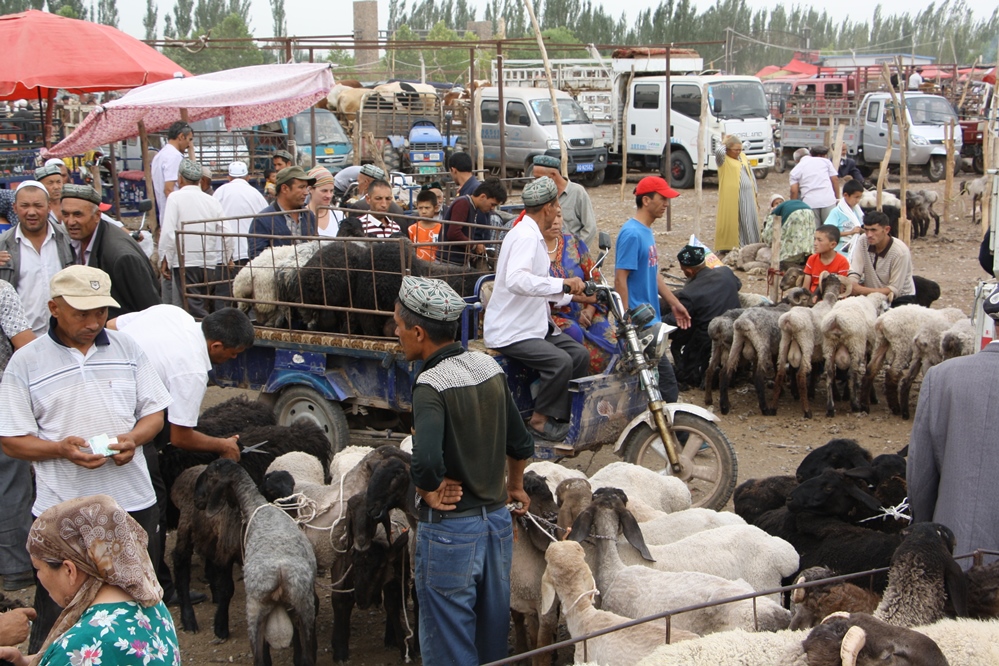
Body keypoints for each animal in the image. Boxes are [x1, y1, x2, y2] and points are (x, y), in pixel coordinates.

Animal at [196, 460, 316, 664]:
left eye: (210, 476)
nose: (198, 499)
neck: (256, 505)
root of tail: (282, 571)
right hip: (304, 607)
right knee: (307, 658)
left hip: (255, 607)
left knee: (260, 658)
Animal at [772, 270, 844, 416]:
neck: (828, 301)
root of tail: (789, 320)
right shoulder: (829, 346)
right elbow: (831, 372)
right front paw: (832, 402)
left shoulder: (818, 350)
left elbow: (817, 369)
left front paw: (812, 392)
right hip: (806, 344)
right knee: (800, 374)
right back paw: (807, 411)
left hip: (785, 342)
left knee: (781, 372)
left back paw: (772, 408)